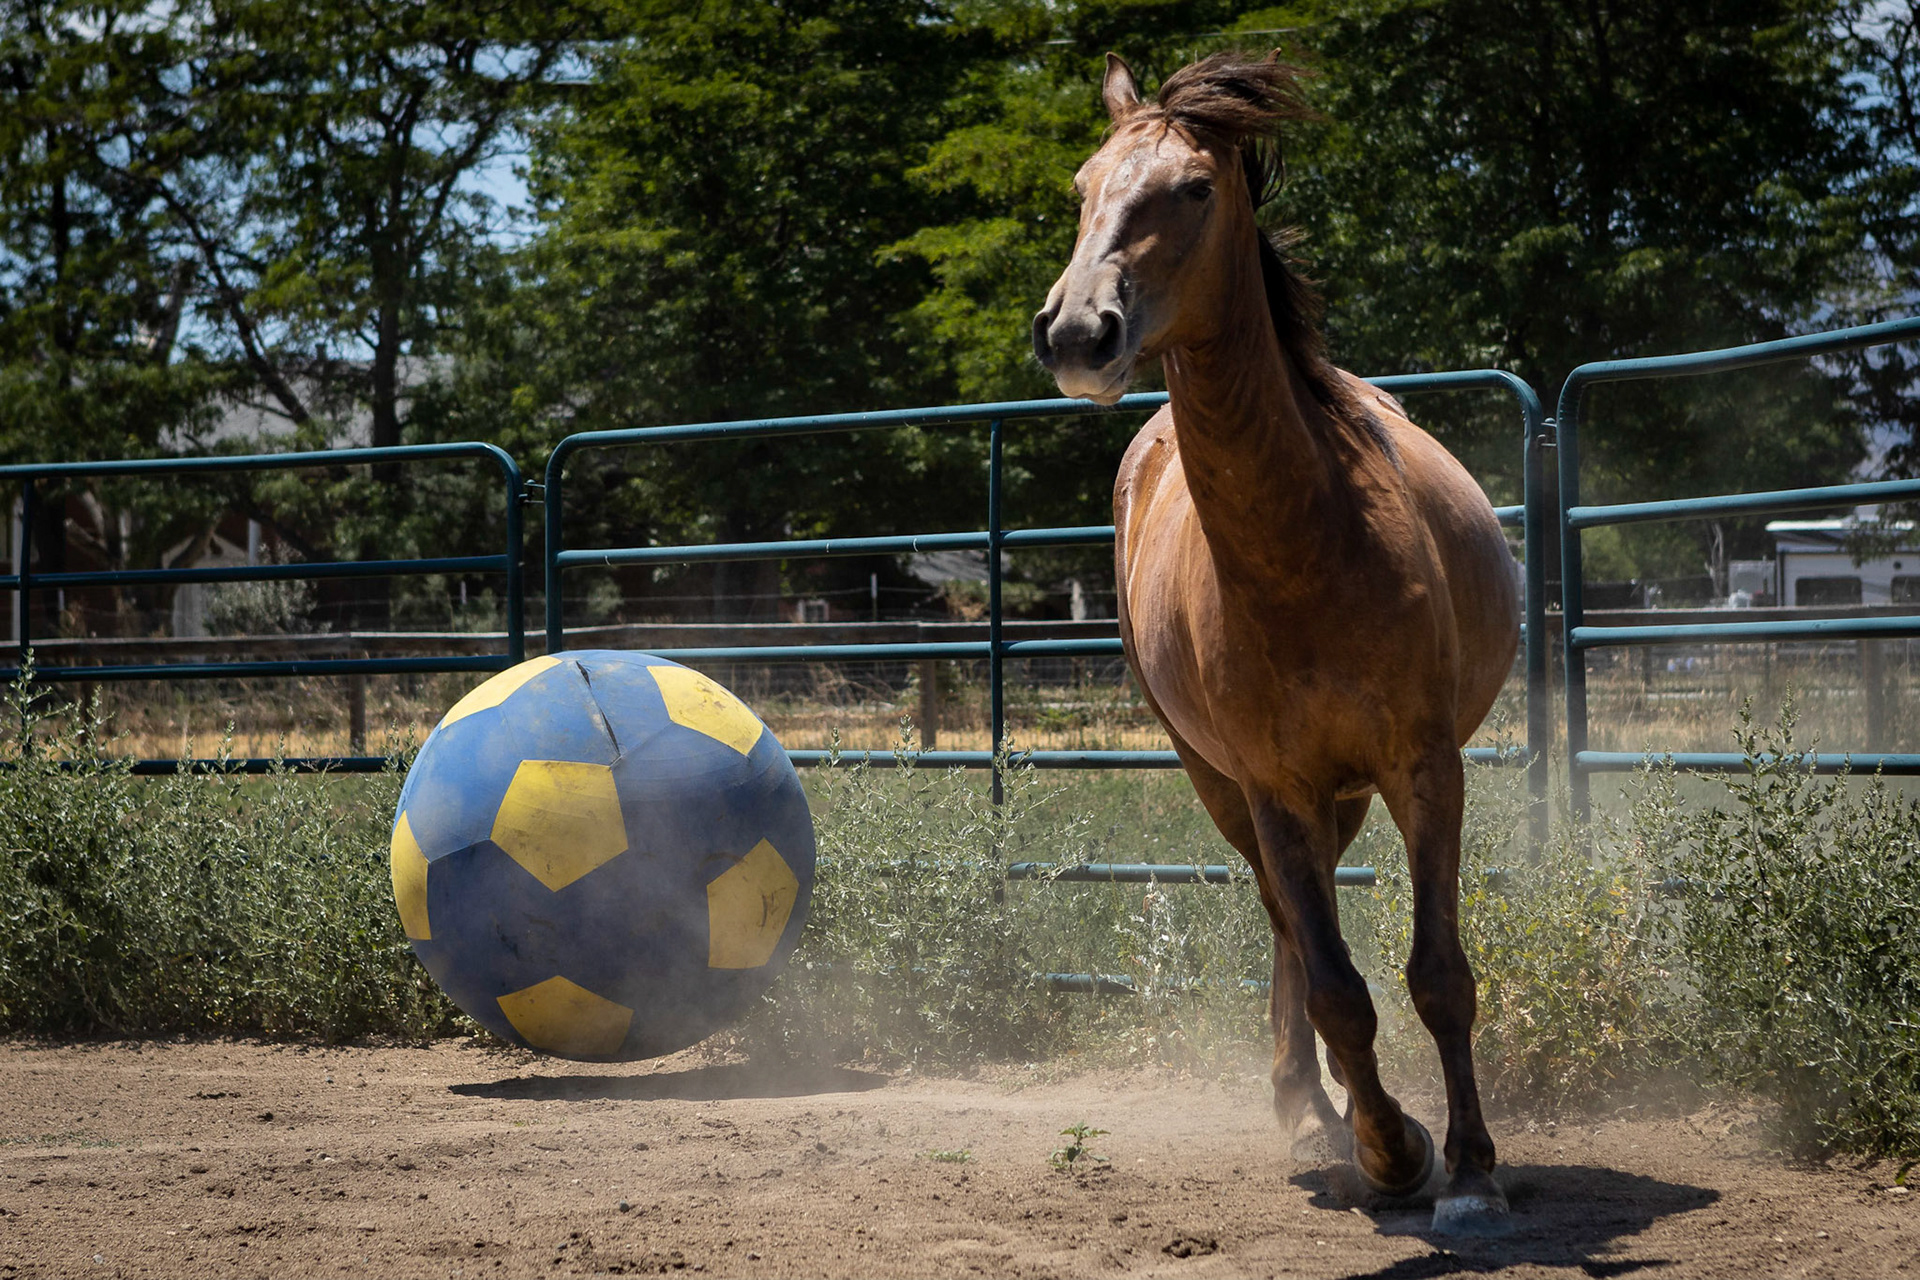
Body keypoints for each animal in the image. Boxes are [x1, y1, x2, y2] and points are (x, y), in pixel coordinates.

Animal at [1031, 52, 1520, 1235]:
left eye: (1194, 188)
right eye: (1083, 188)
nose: (1077, 331)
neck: (1310, 544)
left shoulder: (1425, 767)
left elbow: (1440, 975)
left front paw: (1471, 1171)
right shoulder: (1272, 786)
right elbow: (1340, 985)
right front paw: (1391, 1147)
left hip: (1341, 792)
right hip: (1226, 784)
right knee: (1293, 928)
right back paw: (1313, 1108)